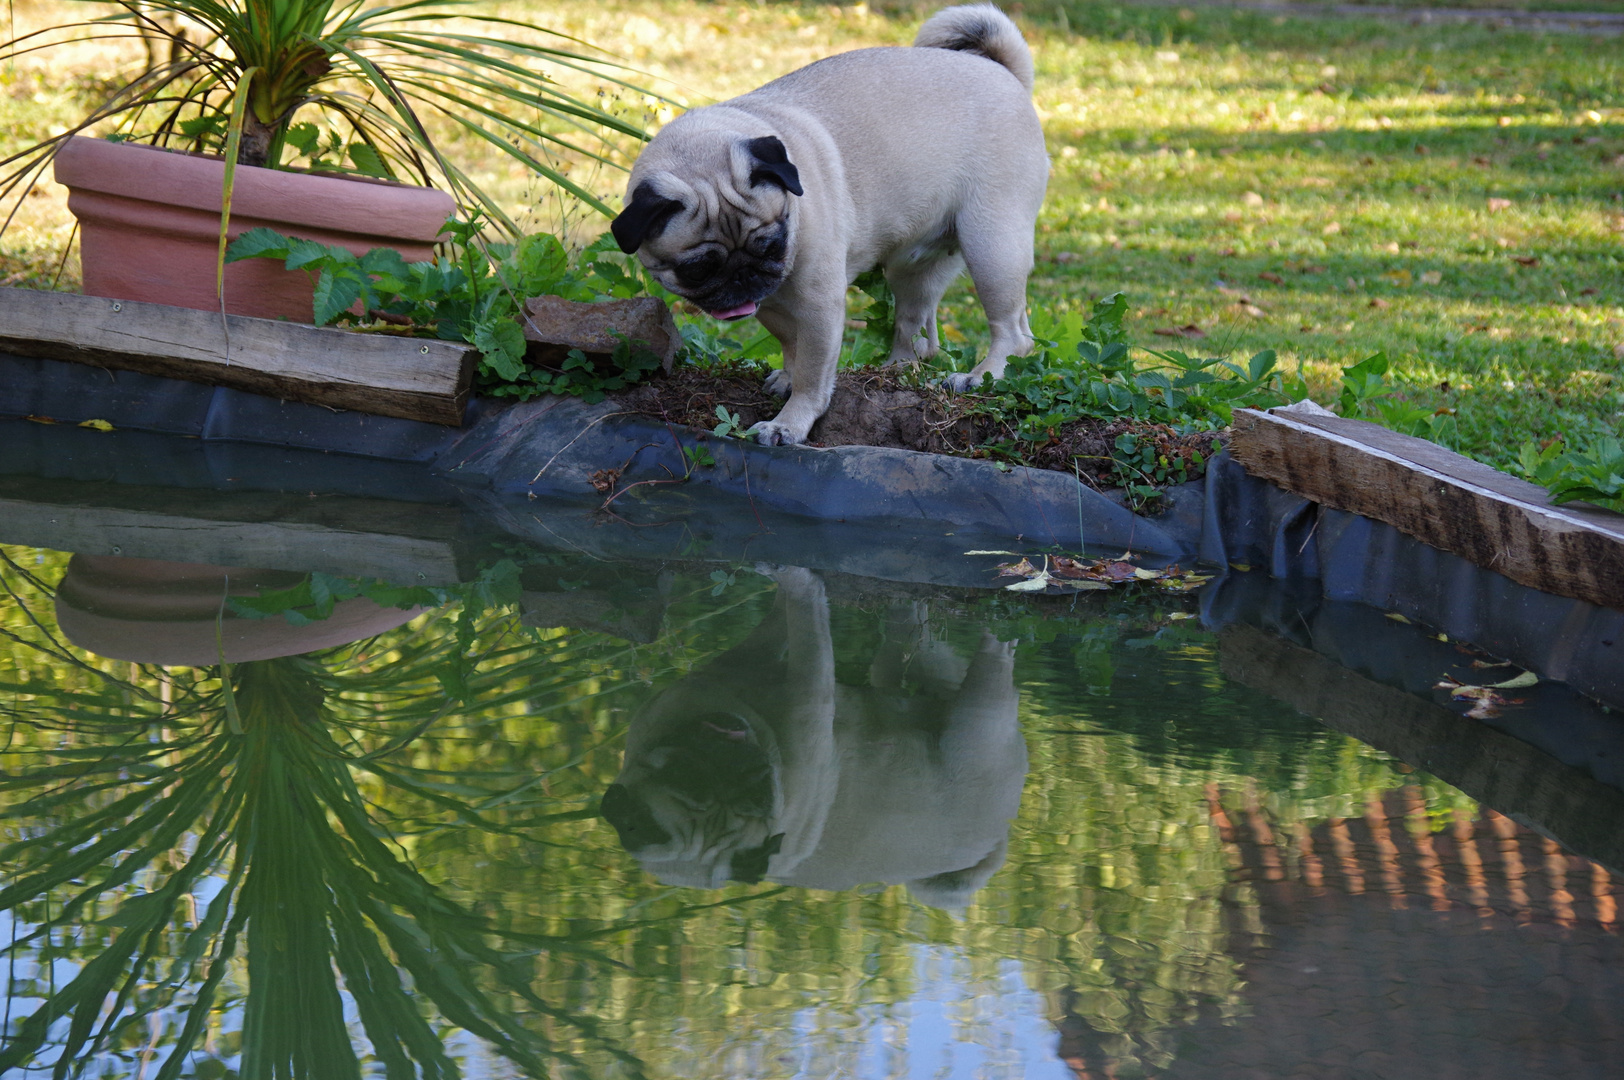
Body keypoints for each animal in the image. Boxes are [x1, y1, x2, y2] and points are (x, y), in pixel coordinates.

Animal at [604, 565, 1019, 909]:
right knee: (912, 651)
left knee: (993, 661)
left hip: (974, 725)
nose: (741, 774)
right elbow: (782, 620)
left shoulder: (805, 696)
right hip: (923, 685)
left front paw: (790, 577)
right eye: (686, 776)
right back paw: (906, 613)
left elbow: (797, 613)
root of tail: (996, 841)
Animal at [610, 4, 1052, 441]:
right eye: (697, 269)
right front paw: (787, 379)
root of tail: (1002, 72)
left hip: (992, 245)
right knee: (916, 325)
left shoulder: (818, 304)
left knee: (1013, 331)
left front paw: (789, 422)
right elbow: (792, 345)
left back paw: (981, 375)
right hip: (916, 266)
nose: (743, 275)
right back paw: (898, 368)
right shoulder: (773, 301)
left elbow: (812, 369)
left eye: (773, 244)